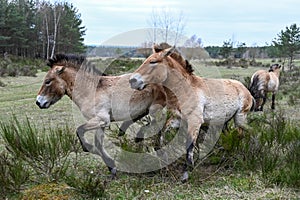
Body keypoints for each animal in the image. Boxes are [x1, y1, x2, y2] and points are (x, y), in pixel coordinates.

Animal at [35, 53, 166, 177]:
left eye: (48, 81)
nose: (38, 102)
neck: (91, 90)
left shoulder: (101, 119)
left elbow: (80, 131)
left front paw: (90, 149)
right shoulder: (101, 123)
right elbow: (98, 144)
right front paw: (111, 167)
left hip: (156, 109)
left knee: (159, 125)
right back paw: (128, 132)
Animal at [129, 44, 255, 182]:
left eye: (153, 61)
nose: (132, 81)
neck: (185, 89)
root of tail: (245, 89)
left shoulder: (195, 121)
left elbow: (189, 145)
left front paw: (186, 174)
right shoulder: (178, 120)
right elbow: (162, 131)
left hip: (239, 118)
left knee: (239, 136)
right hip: (224, 121)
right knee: (229, 136)